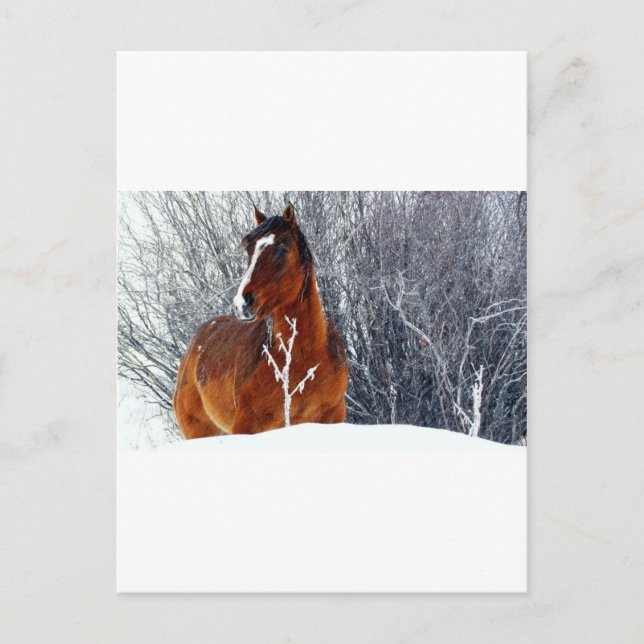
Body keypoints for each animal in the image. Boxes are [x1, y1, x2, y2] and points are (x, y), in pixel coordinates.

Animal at [173, 202, 349, 438]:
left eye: (282, 250)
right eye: (249, 250)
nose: (242, 303)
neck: (304, 359)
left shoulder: (332, 417)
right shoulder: (248, 425)